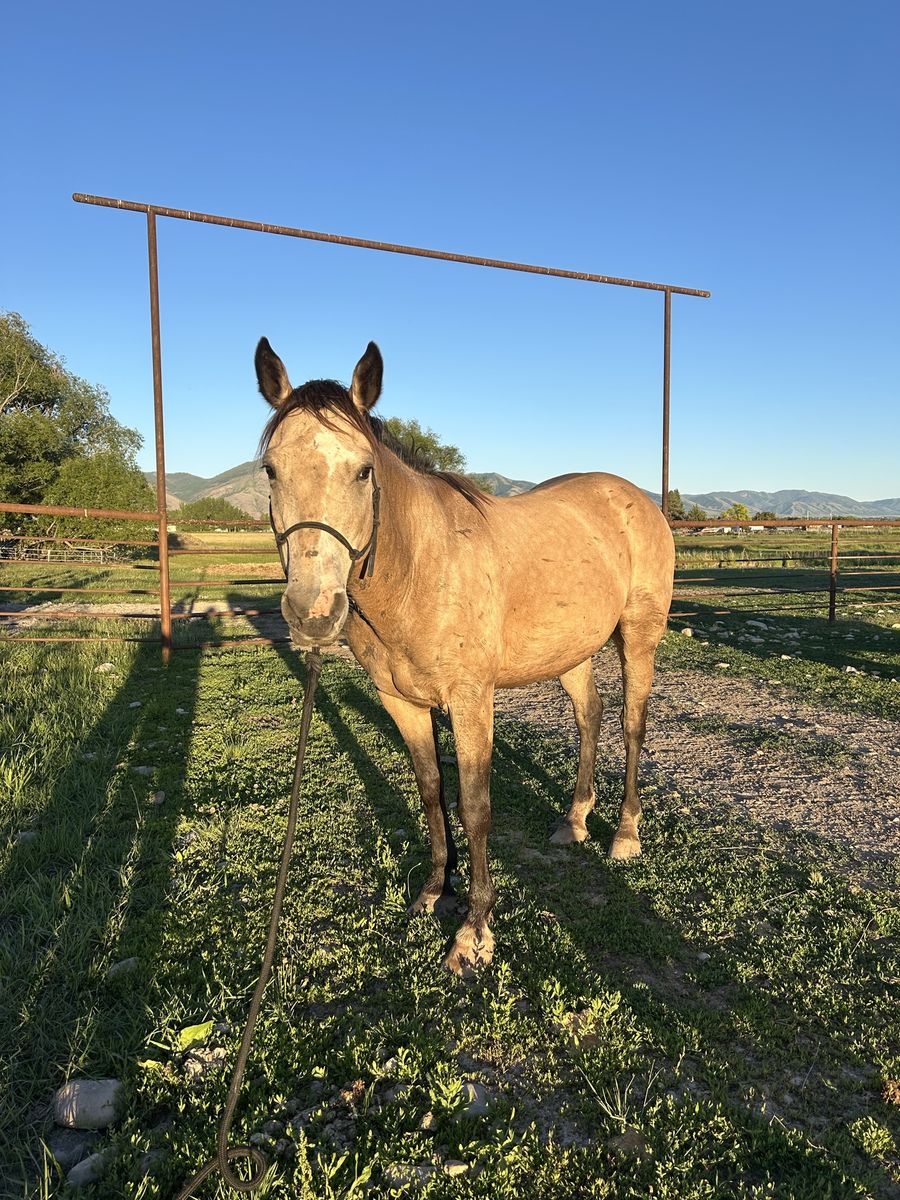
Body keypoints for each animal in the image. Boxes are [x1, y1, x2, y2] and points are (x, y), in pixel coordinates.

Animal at [256, 338, 675, 976]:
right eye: (272, 470)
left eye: (364, 470)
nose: (313, 612)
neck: (419, 568)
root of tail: (636, 500)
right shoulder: (400, 701)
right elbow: (431, 789)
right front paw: (435, 889)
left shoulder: (472, 700)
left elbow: (475, 804)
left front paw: (474, 930)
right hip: (571, 651)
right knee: (591, 715)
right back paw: (575, 819)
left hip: (638, 637)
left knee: (631, 723)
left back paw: (624, 834)